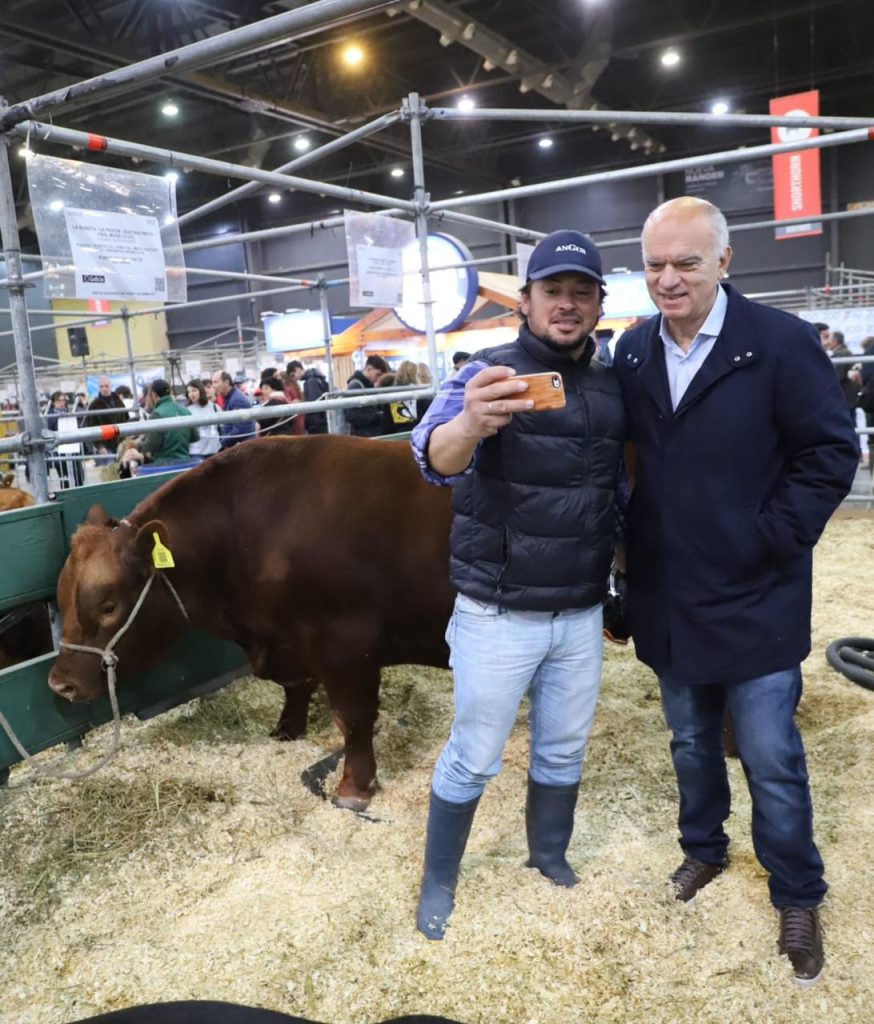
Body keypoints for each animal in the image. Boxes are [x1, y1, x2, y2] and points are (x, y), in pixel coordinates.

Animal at [49, 435, 455, 810]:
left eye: (108, 605)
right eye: (60, 599)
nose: (60, 684)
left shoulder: (346, 645)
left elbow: (353, 719)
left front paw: (352, 789)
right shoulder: (290, 642)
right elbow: (297, 689)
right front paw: (285, 731)